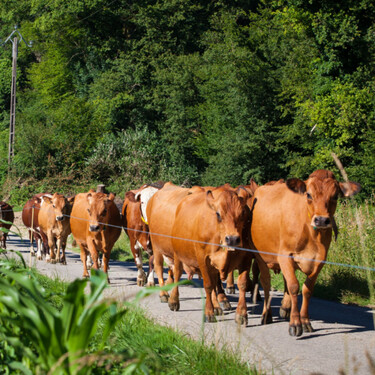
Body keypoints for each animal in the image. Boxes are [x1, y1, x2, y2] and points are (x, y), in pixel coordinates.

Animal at [250, 170, 362, 338]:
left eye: (335, 196)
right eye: (308, 194)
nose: (321, 220)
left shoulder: (320, 260)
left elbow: (307, 289)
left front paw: (305, 321)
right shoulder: (285, 255)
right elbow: (294, 286)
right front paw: (295, 324)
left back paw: (285, 308)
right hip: (261, 257)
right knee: (266, 283)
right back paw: (267, 315)